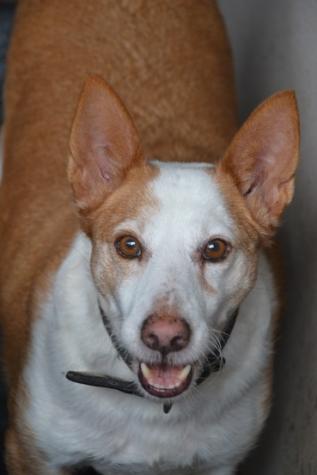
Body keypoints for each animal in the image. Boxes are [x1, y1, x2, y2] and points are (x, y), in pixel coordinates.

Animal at [0, 0, 298, 475]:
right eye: (129, 245)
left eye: (215, 249)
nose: (164, 338)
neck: (152, 409)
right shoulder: (32, 455)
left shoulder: (220, 463)